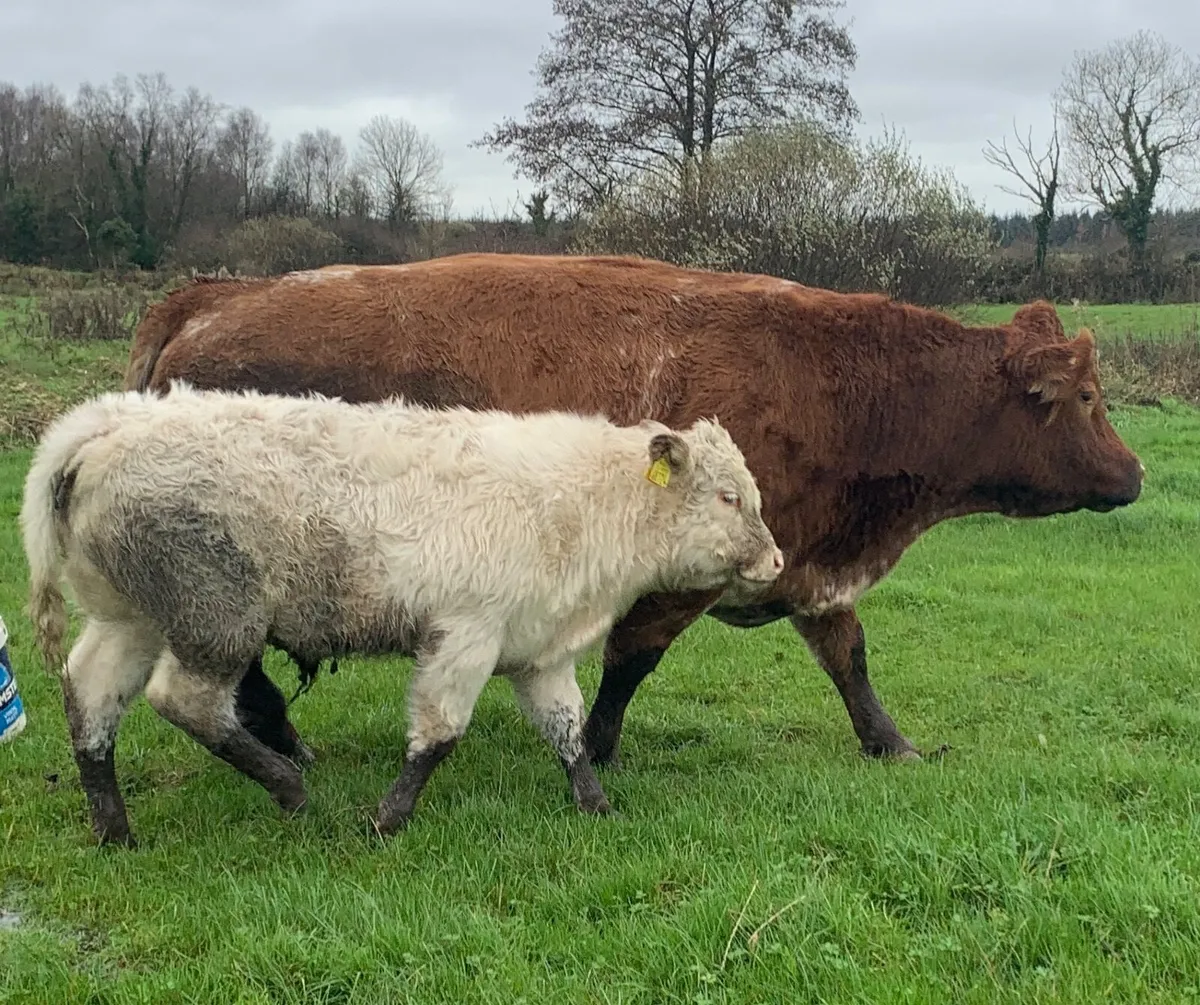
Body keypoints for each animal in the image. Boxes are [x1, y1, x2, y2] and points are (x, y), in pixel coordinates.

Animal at [20, 383, 782, 846]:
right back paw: (288, 785)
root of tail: (112, 420)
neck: (576, 504)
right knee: (185, 701)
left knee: (90, 696)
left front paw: (594, 805)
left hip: (131, 619)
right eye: (727, 497)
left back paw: (115, 828)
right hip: (217, 618)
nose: (776, 561)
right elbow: (439, 734)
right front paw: (390, 817)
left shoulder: (538, 652)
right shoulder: (465, 637)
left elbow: (566, 731)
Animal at [124, 252, 1145, 771]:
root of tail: (214, 295)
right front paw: (599, 750)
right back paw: (283, 743)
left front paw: (891, 743)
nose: (1134, 474)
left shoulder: (809, 566)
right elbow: (630, 663)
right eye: (1090, 398)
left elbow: (849, 658)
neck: (842, 380)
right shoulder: (680, 576)